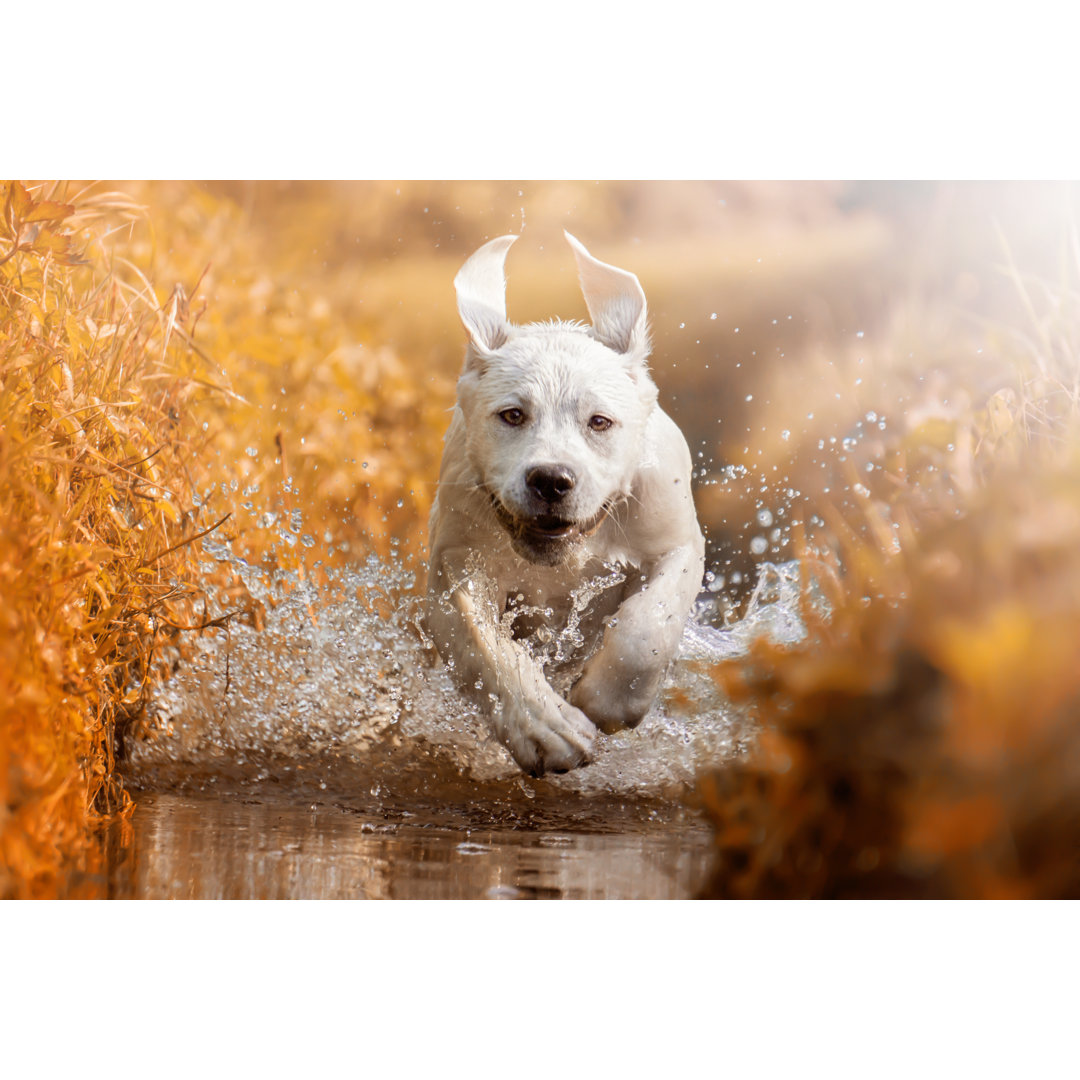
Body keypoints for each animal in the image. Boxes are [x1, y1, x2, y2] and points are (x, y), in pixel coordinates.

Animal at [425, 230, 704, 777]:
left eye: (600, 422)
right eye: (512, 415)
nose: (551, 480)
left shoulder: (676, 542)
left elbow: (647, 627)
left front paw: (605, 700)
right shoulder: (456, 565)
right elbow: (485, 646)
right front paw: (546, 729)